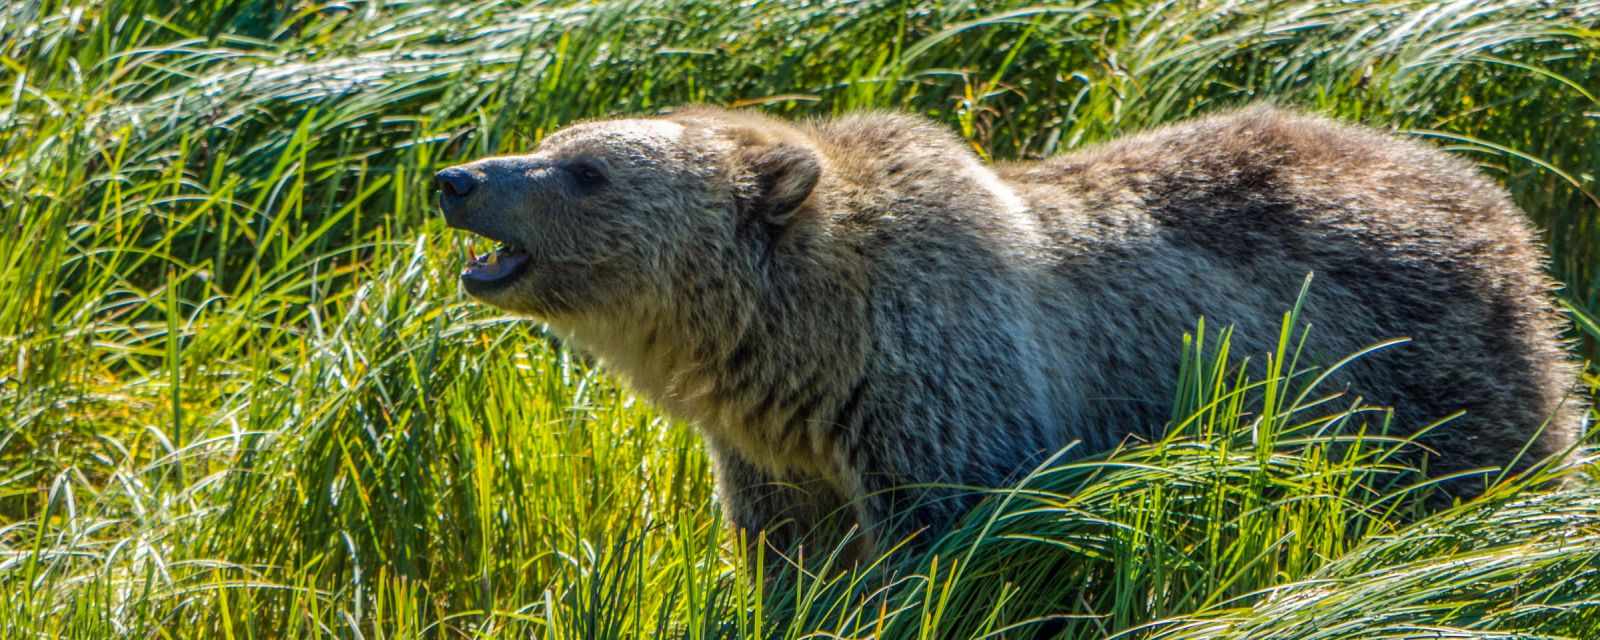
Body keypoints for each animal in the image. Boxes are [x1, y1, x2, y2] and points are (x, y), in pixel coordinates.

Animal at [432, 107, 1580, 563]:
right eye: (553, 140)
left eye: (585, 170)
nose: (457, 177)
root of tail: (1494, 200)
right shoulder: (776, 452)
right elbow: (793, 553)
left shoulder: (940, 383)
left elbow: (957, 538)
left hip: (1418, 367)